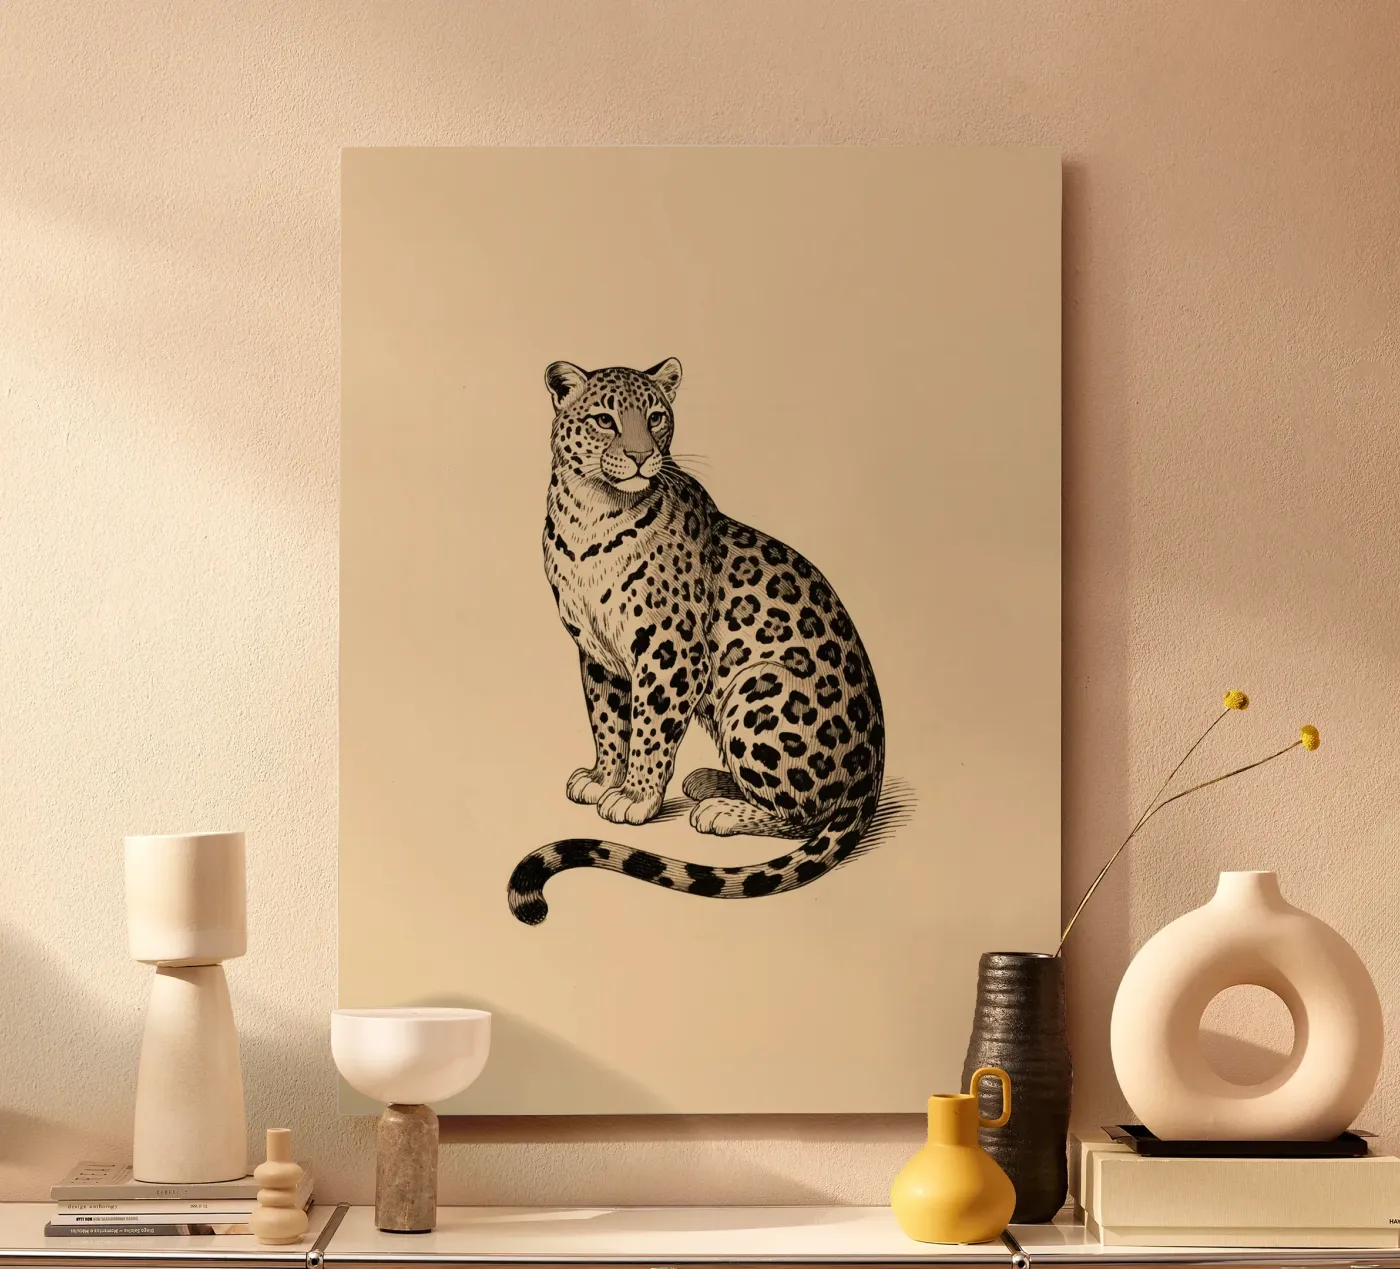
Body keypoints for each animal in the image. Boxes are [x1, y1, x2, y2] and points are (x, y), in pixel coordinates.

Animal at [507, 358, 885, 925]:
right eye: (604, 420)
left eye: (656, 417)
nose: (642, 457)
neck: (590, 513)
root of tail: (872, 776)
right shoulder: (597, 654)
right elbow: (608, 722)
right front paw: (603, 777)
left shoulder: (672, 653)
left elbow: (650, 730)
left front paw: (635, 798)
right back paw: (710, 780)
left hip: (760, 690)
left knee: (805, 815)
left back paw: (721, 809)